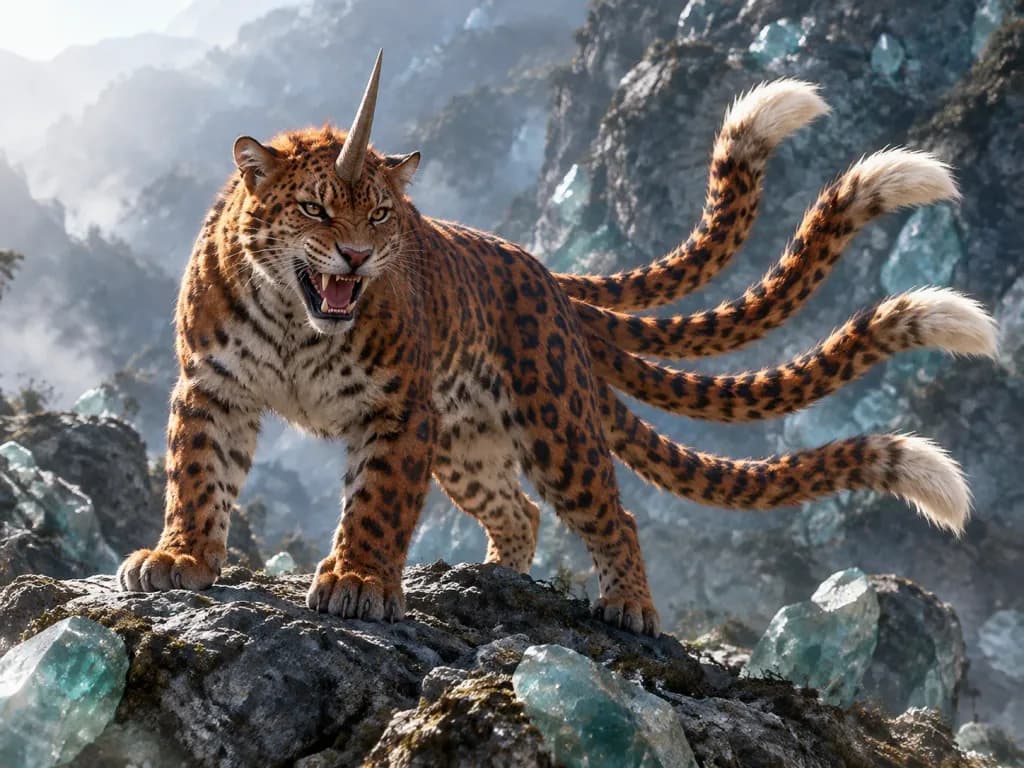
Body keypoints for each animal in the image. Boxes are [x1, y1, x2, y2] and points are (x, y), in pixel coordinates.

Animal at [118, 51, 997, 637]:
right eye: (314, 208)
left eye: (381, 214)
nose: (358, 257)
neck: (298, 325)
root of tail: (549, 277)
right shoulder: (213, 386)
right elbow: (198, 476)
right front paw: (179, 560)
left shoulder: (398, 411)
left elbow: (375, 502)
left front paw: (359, 580)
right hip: (466, 444)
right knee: (521, 511)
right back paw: (490, 574)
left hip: (553, 424)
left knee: (612, 514)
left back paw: (629, 608)